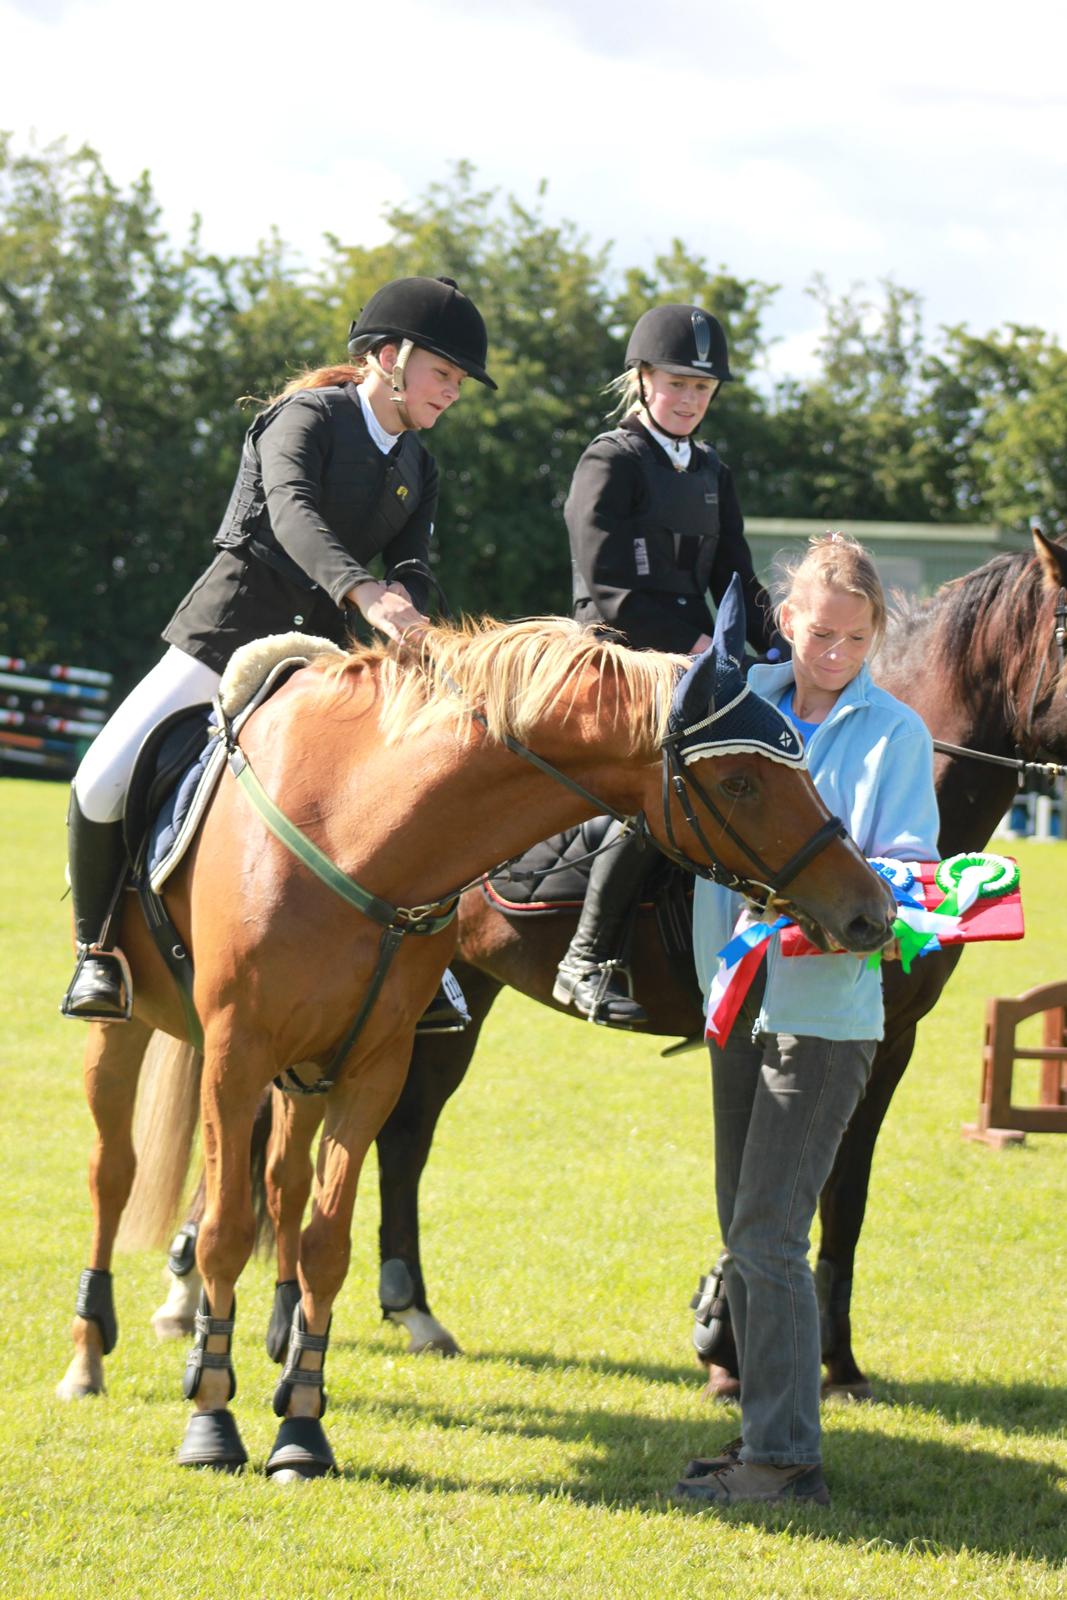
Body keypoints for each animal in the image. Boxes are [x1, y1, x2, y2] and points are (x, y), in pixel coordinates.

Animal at [56, 588, 895, 1472]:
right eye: (737, 781)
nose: (869, 911)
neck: (355, 828)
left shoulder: (371, 1066)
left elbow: (326, 1243)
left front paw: (302, 1427)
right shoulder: (235, 1055)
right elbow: (221, 1230)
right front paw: (211, 1422)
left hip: (309, 1068)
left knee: (282, 1187)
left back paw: (278, 1338)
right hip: (129, 1034)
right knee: (113, 1172)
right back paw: (89, 1355)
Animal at [251, 524, 1067, 1388]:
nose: (868, 914)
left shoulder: (888, 1041)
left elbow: (835, 1196)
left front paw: (799, 1350)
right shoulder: (864, 1040)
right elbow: (819, 1190)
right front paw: (767, 1347)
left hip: (445, 1002)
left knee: (403, 1136)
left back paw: (411, 1308)